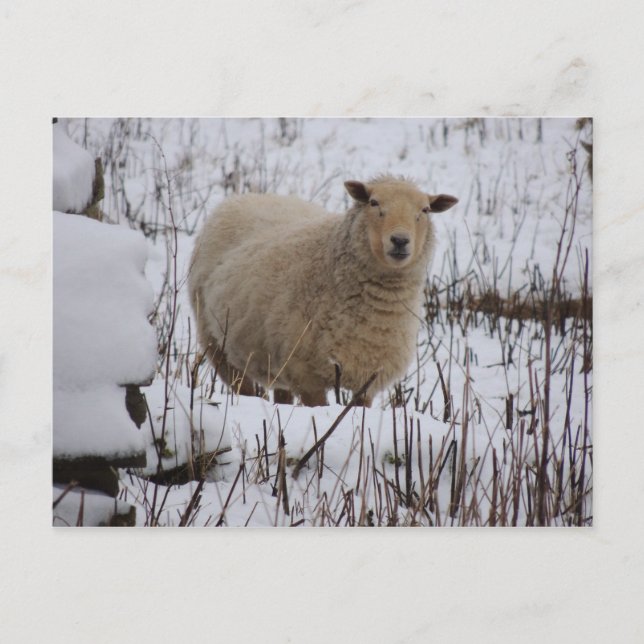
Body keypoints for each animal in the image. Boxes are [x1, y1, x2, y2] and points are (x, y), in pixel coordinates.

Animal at [189, 176, 458, 407]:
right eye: (373, 202)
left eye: (425, 210)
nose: (400, 240)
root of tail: (248, 196)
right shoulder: (307, 377)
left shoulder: (367, 380)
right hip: (218, 346)